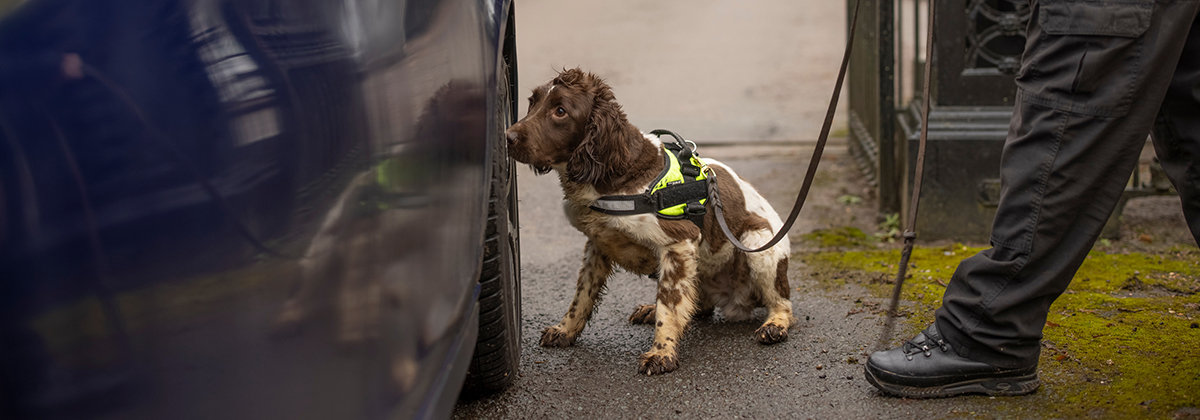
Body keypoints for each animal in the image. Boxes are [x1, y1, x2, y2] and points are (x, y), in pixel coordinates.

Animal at [501, 68, 792, 374]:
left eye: (560, 111)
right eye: (532, 102)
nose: (507, 136)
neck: (616, 174)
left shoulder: (679, 241)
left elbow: (669, 304)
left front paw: (662, 352)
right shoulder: (597, 244)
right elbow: (582, 296)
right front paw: (564, 330)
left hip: (758, 244)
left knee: (781, 301)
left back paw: (775, 325)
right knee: (697, 305)